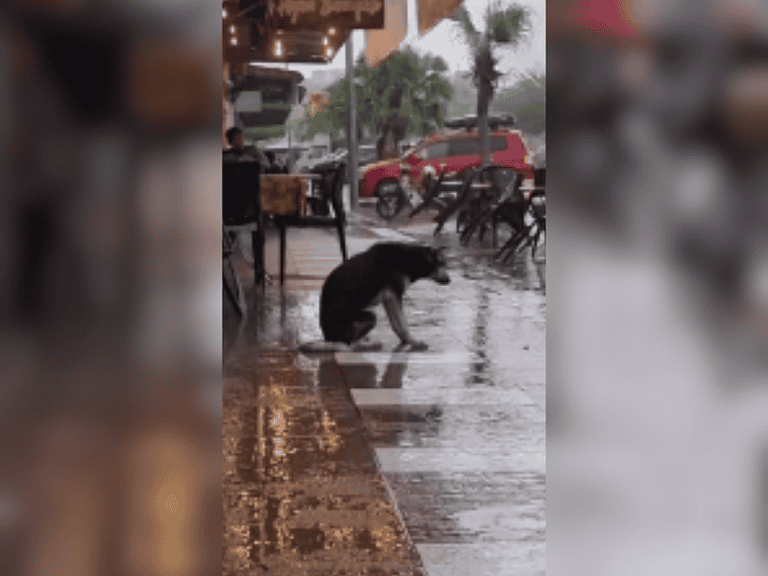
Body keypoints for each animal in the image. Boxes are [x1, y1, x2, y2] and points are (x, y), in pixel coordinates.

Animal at [298, 242, 450, 354]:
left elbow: (396, 325)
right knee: (349, 345)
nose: (450, 280)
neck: (412, 259)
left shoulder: (388, 299)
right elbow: (403, 325)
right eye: (443, 264)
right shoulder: (393, 296)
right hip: (369, 317)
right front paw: (413, 342)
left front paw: (405, 341)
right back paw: (366, 345)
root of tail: (328, 337)